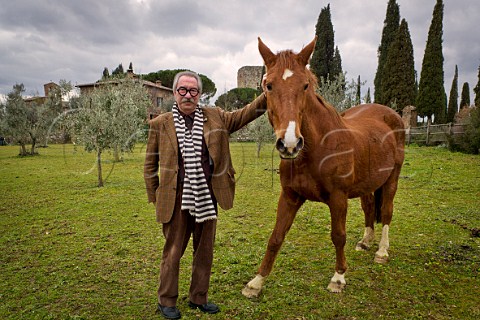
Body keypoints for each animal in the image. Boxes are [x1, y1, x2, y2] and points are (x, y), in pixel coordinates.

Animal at [242, 38, 404, 298]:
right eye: (268, 85)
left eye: (306, 85)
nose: (289, 144)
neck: (315, 150)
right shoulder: (289, 196)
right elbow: (276, 237)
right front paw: (256, 282)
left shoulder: (338, 198)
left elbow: (338, 236)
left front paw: (338, 277)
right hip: (369, 184)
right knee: (370, 208)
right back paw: (366, 242)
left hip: (391, 180)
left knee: (387, 211)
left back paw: (381, 251)